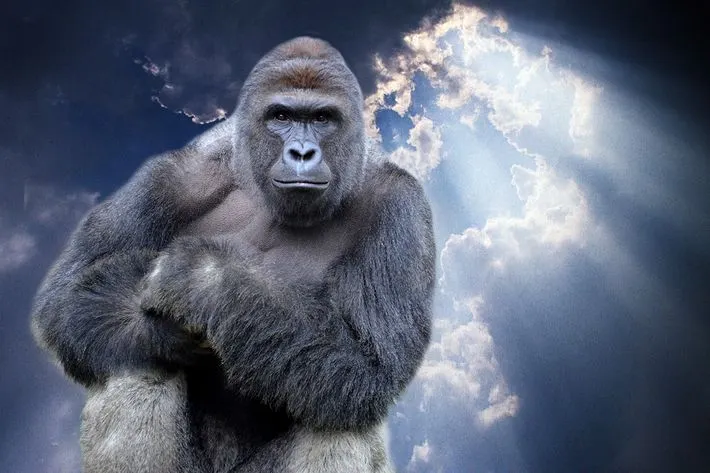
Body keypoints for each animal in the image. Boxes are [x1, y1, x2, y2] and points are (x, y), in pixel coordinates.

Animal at [31, 37, 435, 472]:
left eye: (323, 118)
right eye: (281, 115)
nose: (302, 152)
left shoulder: (401, 206)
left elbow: (372, 363)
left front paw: (203, 279)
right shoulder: (176, 176)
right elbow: (64, 300)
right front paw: (169, 328)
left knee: (341, 416)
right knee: (136, 359)